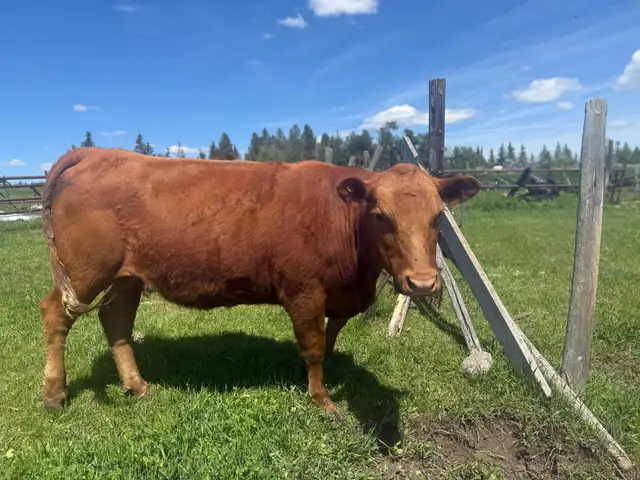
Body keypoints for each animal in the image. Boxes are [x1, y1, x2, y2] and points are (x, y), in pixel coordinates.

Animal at [39, 147, 481, 414]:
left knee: (115, 321)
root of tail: (97, 152)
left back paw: (137, 385)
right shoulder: (304, 291)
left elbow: (330, 335)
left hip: (127, 277)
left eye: (438, 216)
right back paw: (55, 394)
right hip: (85, 272)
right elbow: (314, 346)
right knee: (54, 315)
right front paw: (322, 398)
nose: (422, 283)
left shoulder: (339, 293)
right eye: (380, 215)